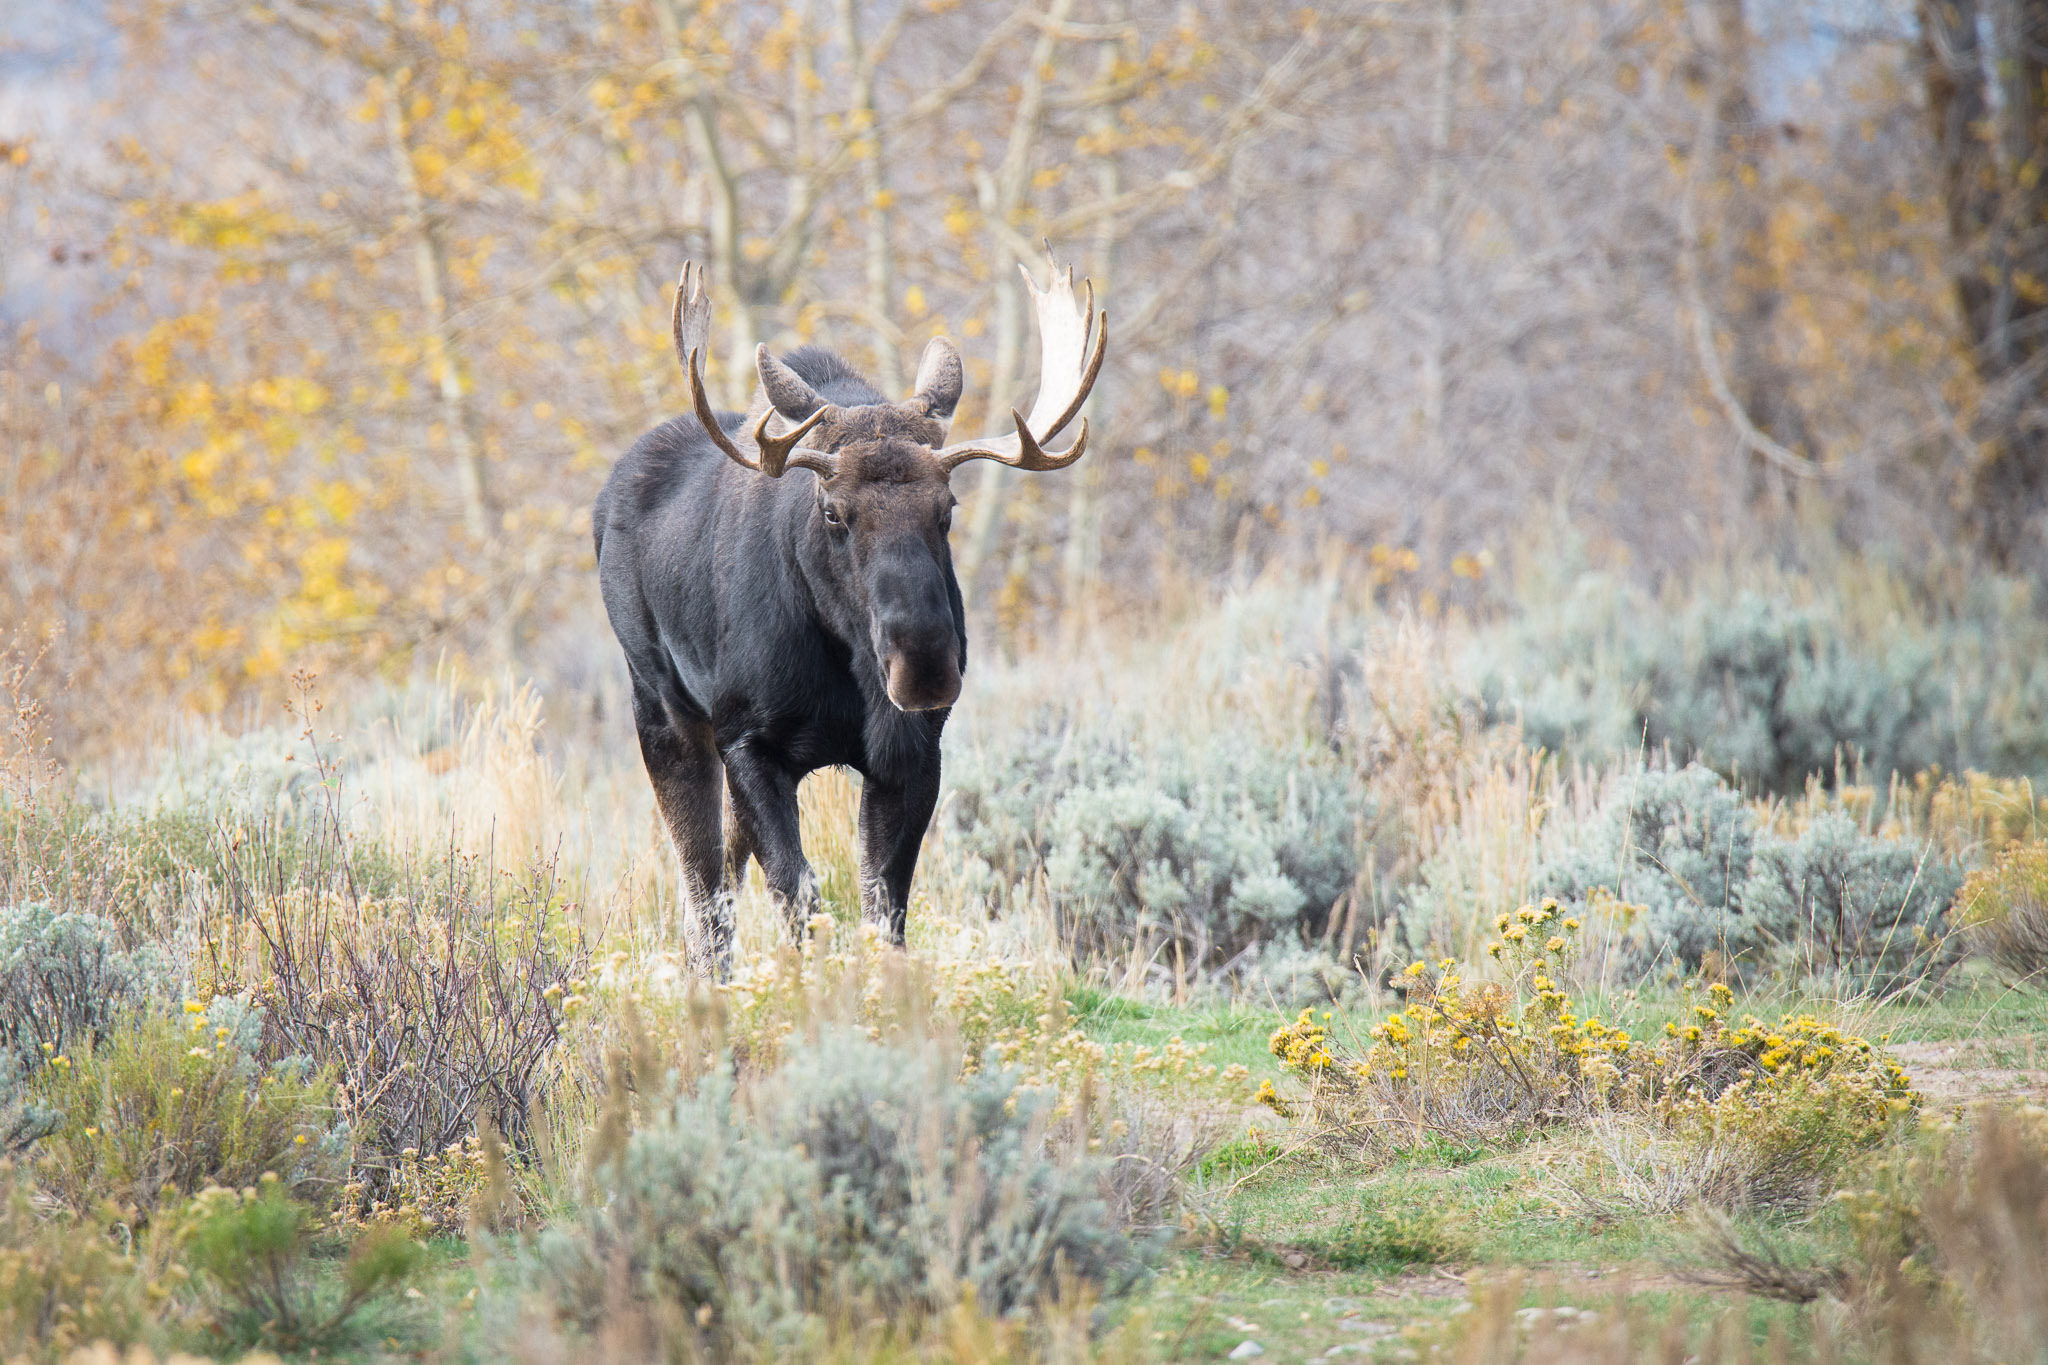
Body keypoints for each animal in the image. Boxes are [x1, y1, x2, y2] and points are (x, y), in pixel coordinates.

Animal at [593, 253, 1105, 961]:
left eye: (948, 508)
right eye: (833, 511)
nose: (924, 666)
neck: (843, 667)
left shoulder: (913, 752)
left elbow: (883, 908)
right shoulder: (746, 741)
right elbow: (800, 897)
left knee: (721, 877)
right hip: (663, 711)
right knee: (703, 898)